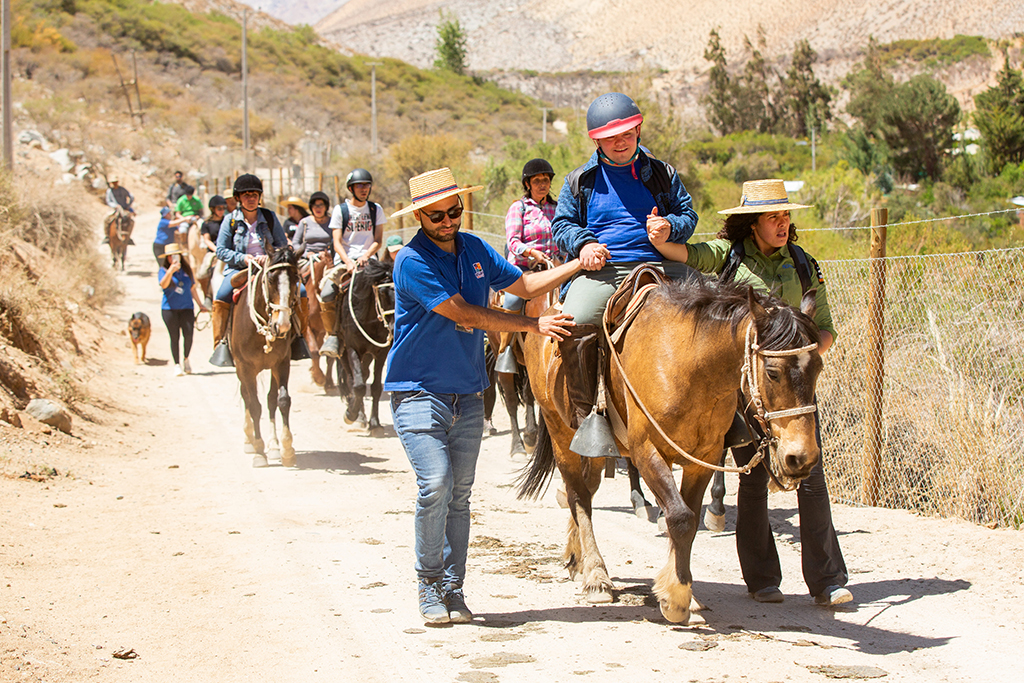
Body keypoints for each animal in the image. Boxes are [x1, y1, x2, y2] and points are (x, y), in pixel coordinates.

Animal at [228, 248, 299, 466]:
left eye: (296, 278)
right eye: (270, 279)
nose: (282, 325)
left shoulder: (281, 363)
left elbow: (281, 401)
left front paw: (286, 449)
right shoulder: (245, 367)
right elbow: (254, 405)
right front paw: (259, 451)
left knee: (270, 400)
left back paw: (274, 446)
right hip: (241, 369)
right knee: (246, 396)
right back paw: (249, 440)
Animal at [520, 274, 823, 626]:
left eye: (818, 367)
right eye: (773, 372)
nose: (801, 457)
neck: (690, 365)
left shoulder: (704, 458)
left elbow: (689, 522)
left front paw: (685, 593)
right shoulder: (647, 451)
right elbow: (679, 517)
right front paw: (676, 598)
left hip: (593, 446)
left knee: (584, 491)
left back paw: (576, 558)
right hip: (559, 432)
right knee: (578, 496)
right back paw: (596, 576)